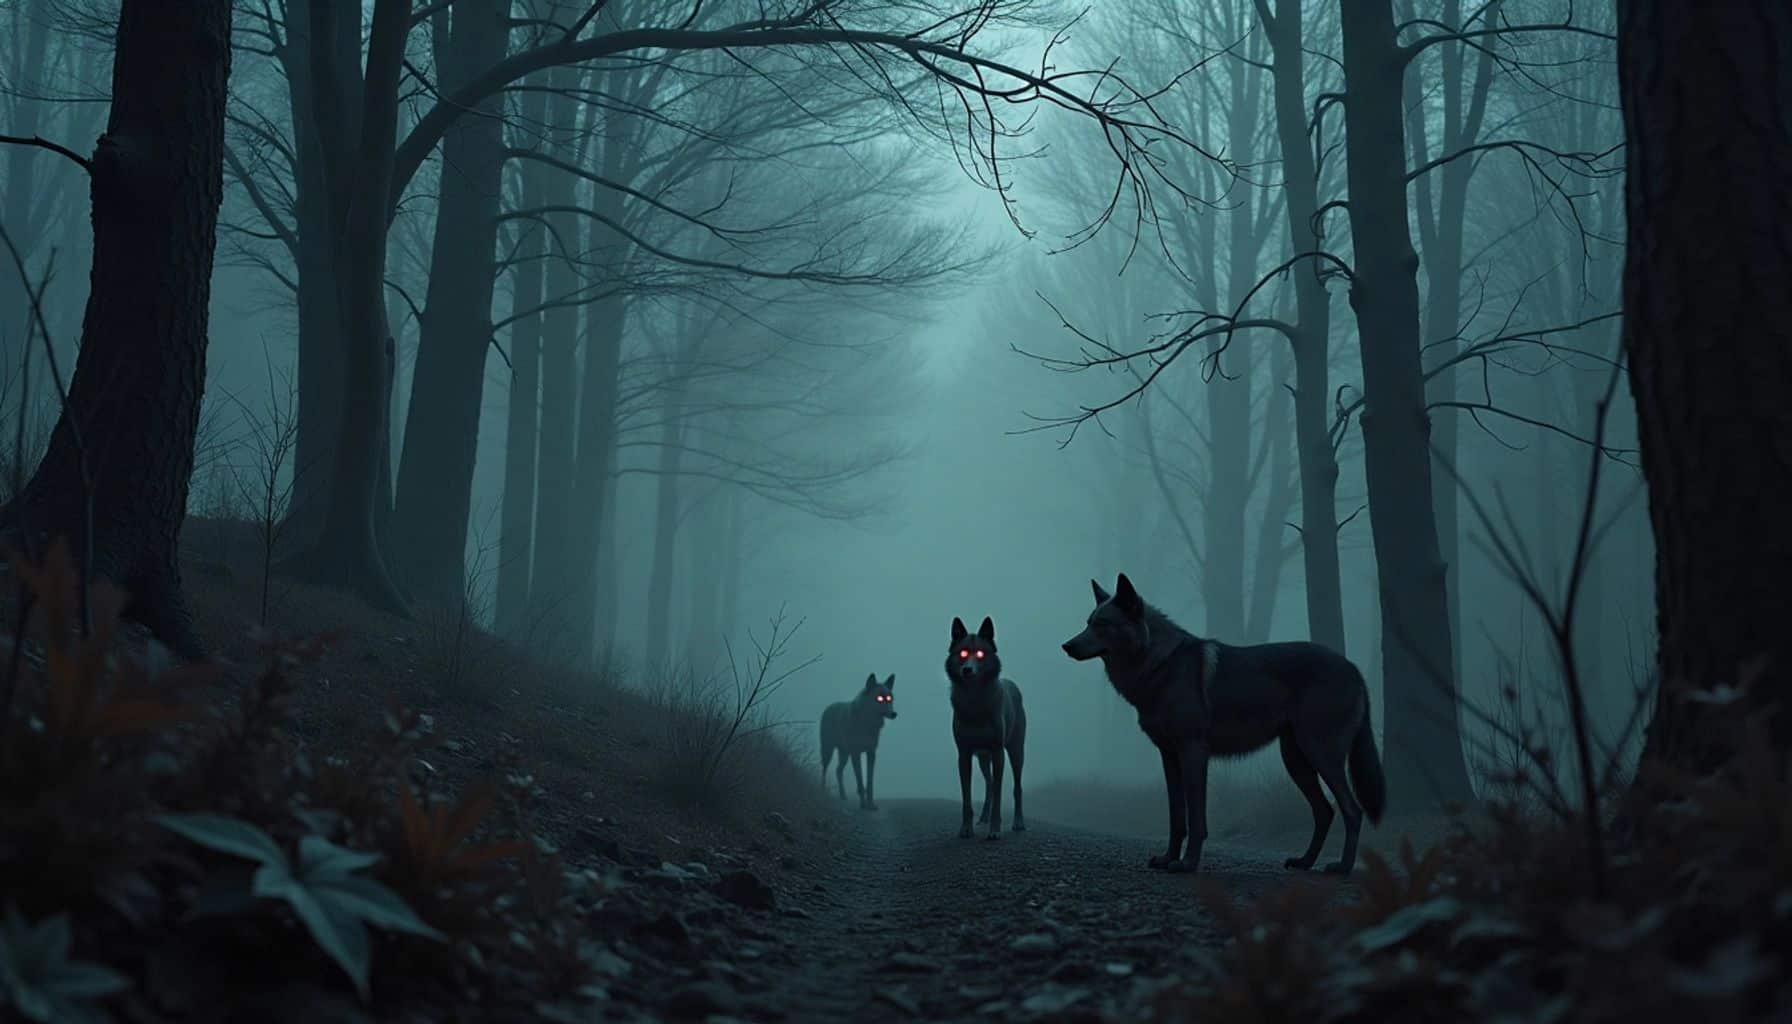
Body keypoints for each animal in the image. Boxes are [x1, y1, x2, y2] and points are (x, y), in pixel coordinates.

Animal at [820, 673, 898, 810]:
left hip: (845, 755)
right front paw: (863, 804)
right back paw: (823, 791)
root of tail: (829, 706)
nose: (894, 714)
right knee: (824, 770)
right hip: (828, 751)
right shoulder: (856, 754)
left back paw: (843, 795)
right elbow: (860, 782)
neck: (866, 723)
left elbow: (869, 783)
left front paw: (871, 804)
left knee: (838, 771)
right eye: (879, 698)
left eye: (889, 698)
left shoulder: (871, 753)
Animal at [946, 616, 1027, 840]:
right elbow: (966, 799)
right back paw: (983, 817)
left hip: (1016, 753)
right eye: (963, 653)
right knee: (989, 785)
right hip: (983, 758)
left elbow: (999, 797)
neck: (975, 703)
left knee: (1016, 788)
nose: (967, 670)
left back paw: (1018, 823)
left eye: (981, 654)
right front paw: (966, 829)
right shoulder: (964, 755)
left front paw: (995, 830)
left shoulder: (998, 752)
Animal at [1061, 573, 1386, 876]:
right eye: (1088, 622)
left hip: (1320, 755)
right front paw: (1168, 859)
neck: (1160, 664)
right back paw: (1305, 862)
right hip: (1297, 761)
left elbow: (1196, 819)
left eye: (1102, 624)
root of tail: (1353, 668)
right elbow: (1177, 818)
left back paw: (1342, 867)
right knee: (1325, 811)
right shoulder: (1169, 757)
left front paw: (1188, 864)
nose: (1066, 646)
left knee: (1352, 811)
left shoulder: (1193, 752)